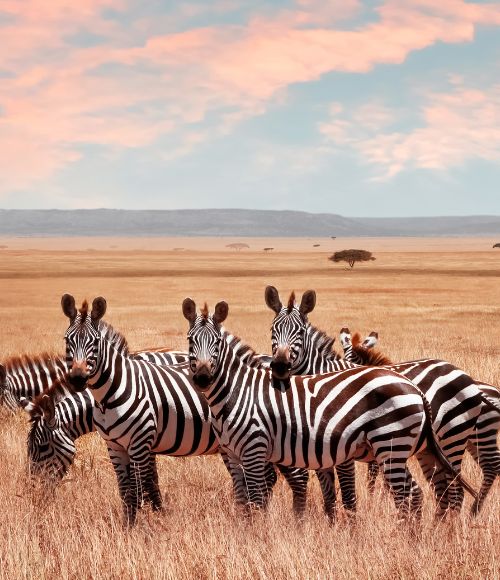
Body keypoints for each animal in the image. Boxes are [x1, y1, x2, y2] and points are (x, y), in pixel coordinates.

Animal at [340, 328, 500, 516]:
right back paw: (473, 511)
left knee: (487, 467)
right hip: (472, 438)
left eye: (353, 362)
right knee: (490, 465)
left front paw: (376, 499)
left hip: (473, 434)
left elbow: (375, 474)